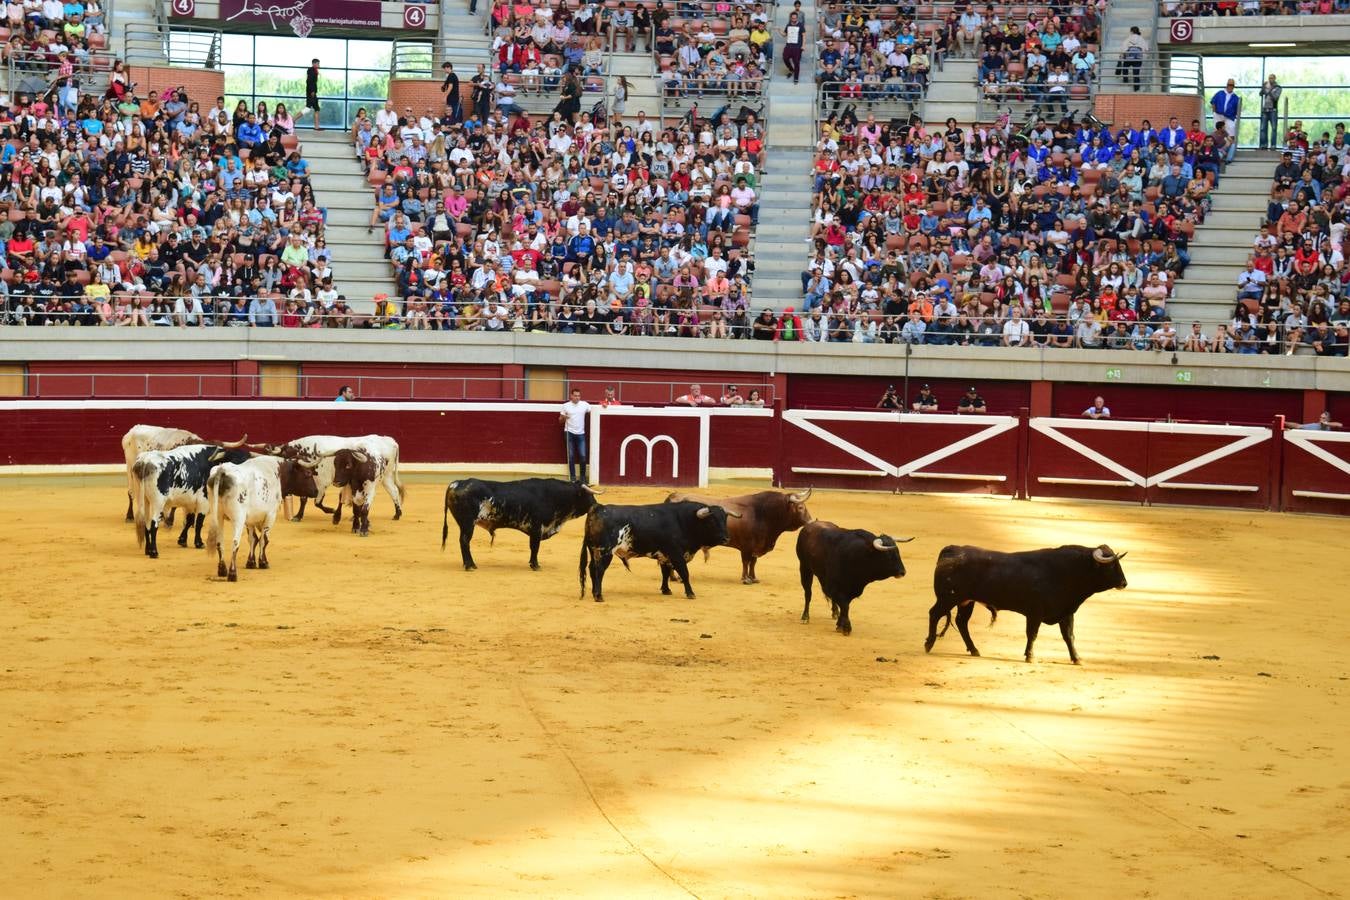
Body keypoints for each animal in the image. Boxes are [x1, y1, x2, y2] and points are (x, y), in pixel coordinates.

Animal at [664, 485, 810, 585]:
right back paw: (677, 578)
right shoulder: (747, 546)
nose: (810, 521)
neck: (761, 513)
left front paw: (753, 578)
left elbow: (753, 562)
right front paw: (746, 579)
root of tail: (674, 496)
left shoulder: (755, 546)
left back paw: (673, 577)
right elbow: (746, 561)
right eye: (800, 507)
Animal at [928, 542, 1128, 661]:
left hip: (966, 601)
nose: (1124, 583)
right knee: (934, 614)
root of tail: (951, 549)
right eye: (1111, 565)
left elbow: (1069, 636)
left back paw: (974, 650)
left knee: (962, 622)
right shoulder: (1035, 613)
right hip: (948, 598)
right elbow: (1032, 634)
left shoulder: (1066, 612)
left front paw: (1076, 658)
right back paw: (929, 644)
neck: (1068, 571)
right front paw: (1030, 656)